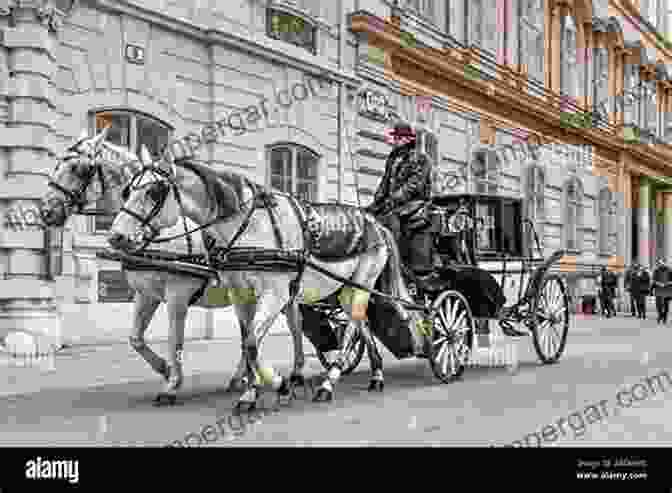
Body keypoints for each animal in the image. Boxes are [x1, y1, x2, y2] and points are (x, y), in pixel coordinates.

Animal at [39, 127, 308, 404]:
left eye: (79, 168)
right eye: (127, 192)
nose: (46, 210)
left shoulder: (177, 295)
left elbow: (174, 339)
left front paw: (172, 383)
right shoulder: (146, 294)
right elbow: (136, 339)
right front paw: (165, 369)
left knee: (293, 326)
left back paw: (293, 372)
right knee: (267, 330)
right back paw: (245, 377)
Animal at [109, 159, 414, 408]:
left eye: (153, 192)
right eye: (127, 191)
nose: (116, 237)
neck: (249, 227)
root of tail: (375, 222)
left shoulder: (181, 295)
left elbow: (238, 342)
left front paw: (275, 386)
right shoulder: (231, 293)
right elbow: (138, 338)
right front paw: (251, 389)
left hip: (358, 284)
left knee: (351, 327)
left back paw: (329, 381)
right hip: (336, 291)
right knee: (354, 325)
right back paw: (372, 374)